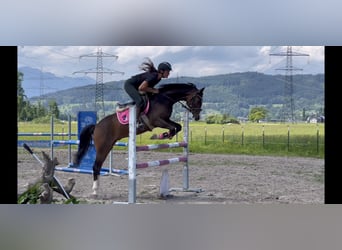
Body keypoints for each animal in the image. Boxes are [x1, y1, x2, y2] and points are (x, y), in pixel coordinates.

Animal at [73, 82, 204, 195]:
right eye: (197, 100)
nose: (197, 117)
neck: (164, 99)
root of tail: (97, 126)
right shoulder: (157, 121)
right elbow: (173, 127)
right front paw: (162, 135)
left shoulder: (166, 120)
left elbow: (178, 126)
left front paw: (165, 135)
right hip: (103, 148)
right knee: (96, 166)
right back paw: (95, 190)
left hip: (109, 145)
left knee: (98, 166)